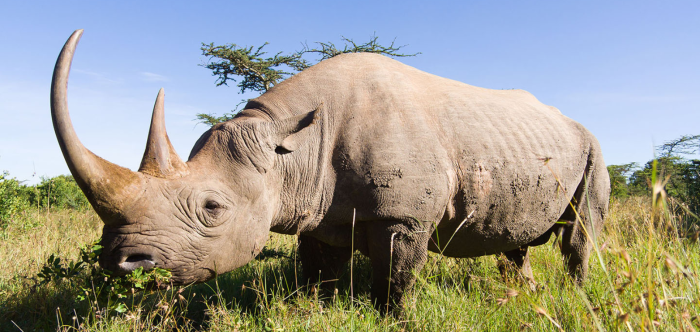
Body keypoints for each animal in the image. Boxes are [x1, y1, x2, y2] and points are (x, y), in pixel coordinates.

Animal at [50, 29, 608, 312]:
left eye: (212, 208)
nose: (120, 264)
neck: (290, 150)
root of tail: (570, 120)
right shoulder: (316, 213)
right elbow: (317, 276)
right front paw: (313, 311)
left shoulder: (403, 217)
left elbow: (396, 281)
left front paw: (394, 319)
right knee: (518, 240)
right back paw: (525, 296)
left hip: (593, 146)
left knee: (579, 233)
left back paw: (575, 296)